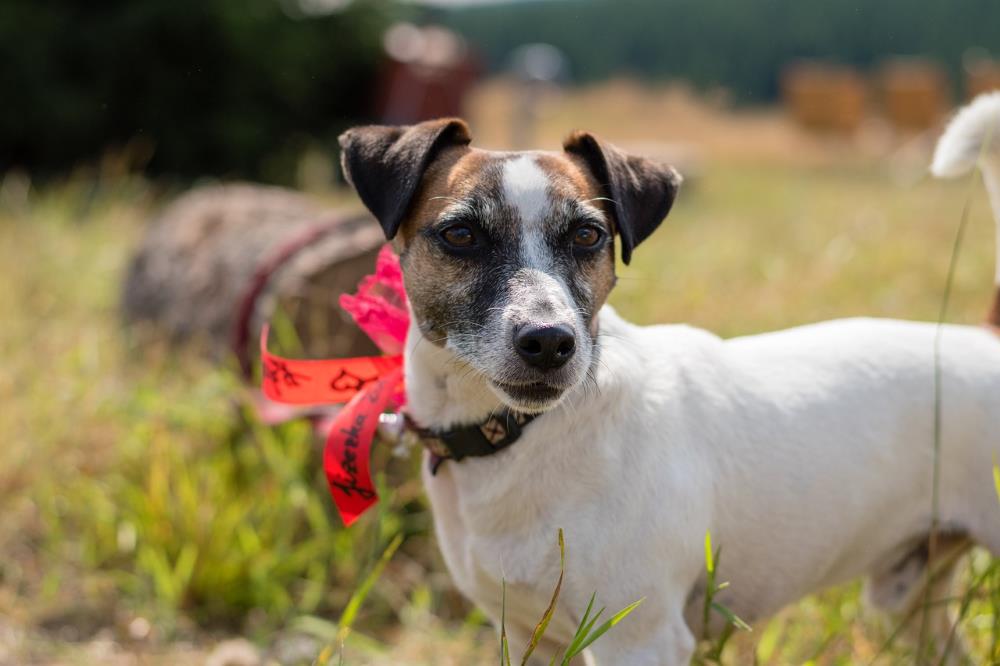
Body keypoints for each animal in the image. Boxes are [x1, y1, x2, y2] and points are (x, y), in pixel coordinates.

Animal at [338, 94, 1000, 664]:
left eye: (588, 234)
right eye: (460, 234)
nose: (551, 342)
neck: (522, 434)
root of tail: (987, 340)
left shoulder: (640, 640)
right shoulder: (536, 637)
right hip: (911, 604)